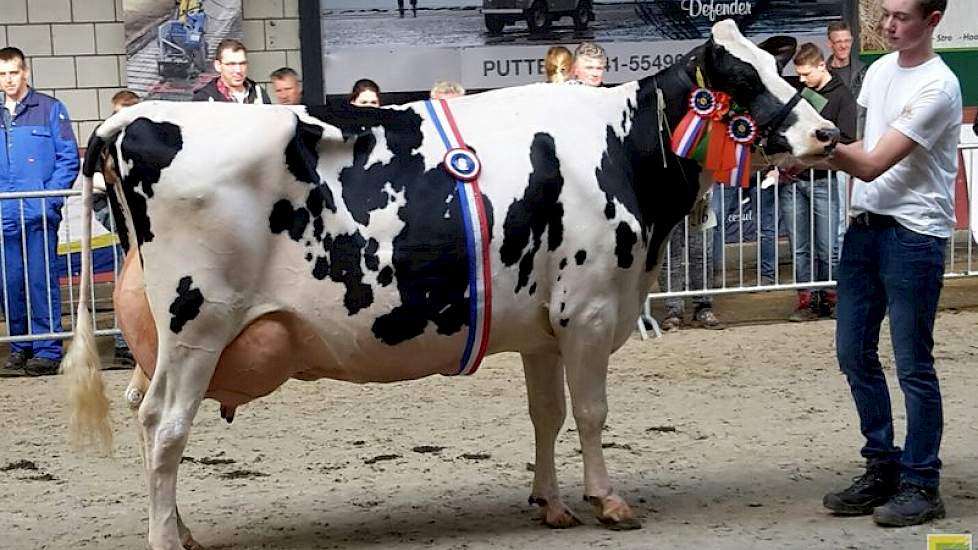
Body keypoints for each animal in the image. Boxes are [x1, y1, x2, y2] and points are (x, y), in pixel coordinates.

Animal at [65, 21, 836, 550]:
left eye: (779, 68)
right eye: (741, 82)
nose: (828, 132)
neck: (622, 150)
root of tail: (128, 116)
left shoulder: (544, 329)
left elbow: (546, 415)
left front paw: (551, 503)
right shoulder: (589, 312)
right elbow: (592, 414)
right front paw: (608, 501)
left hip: (167, 339)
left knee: (145, 418)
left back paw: (184, 529)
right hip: (196, 324)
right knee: (163, 425)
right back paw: (166, 538)